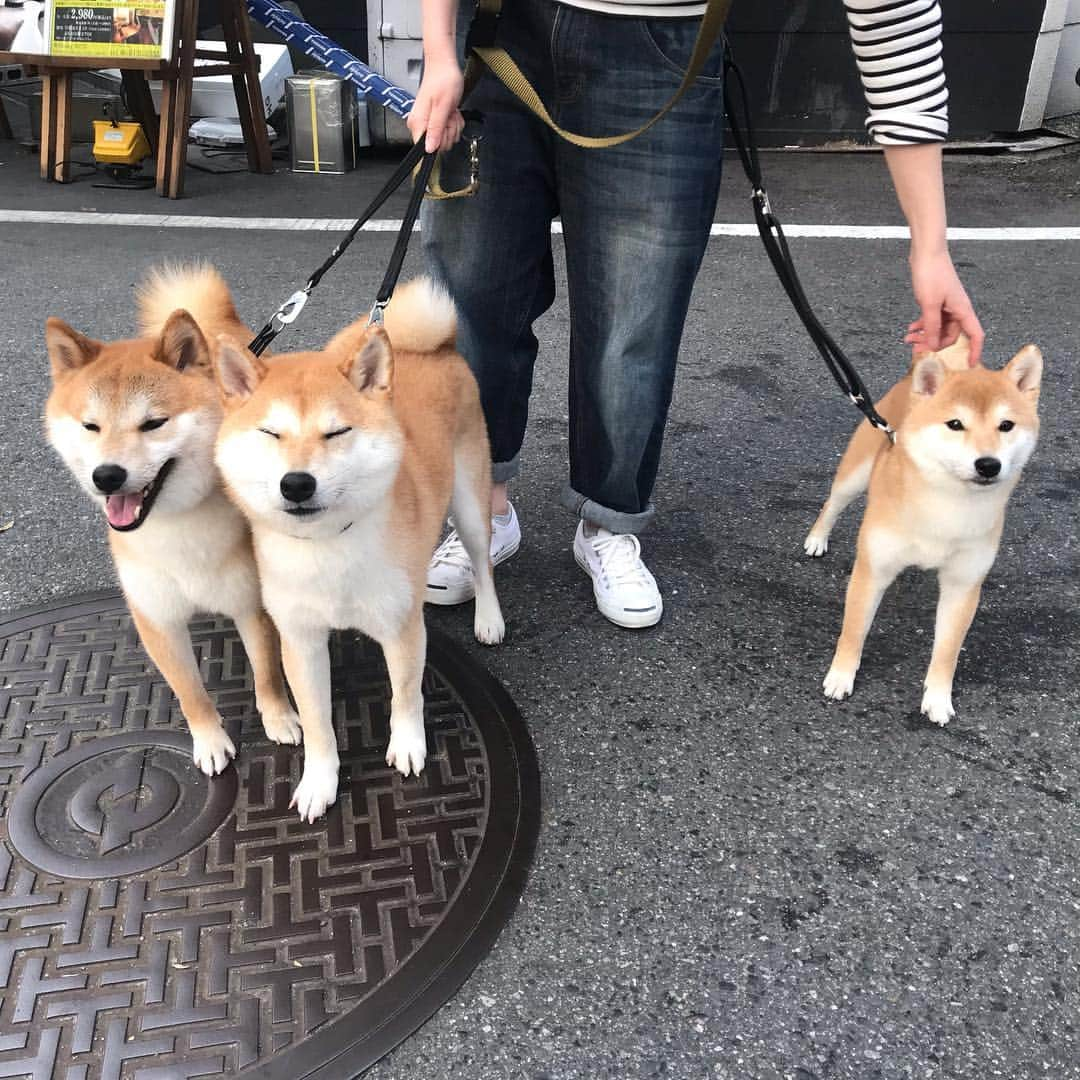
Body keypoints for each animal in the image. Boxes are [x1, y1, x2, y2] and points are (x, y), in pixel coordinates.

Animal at [44, 268, 300, 777]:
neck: (178, 527)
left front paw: (279, 718)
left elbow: (267, 673)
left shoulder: (251, 603)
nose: (107, 476)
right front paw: (209, 740)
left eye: (153, 424)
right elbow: (189, 692)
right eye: (90, 427)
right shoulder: (156, 617)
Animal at [217, 276, 507, 816]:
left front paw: (409, 745)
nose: (297, 483)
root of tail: (435, 348)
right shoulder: (300, 638)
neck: (327, 546)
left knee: (483, 561)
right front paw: (318, 781)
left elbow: (406, 696)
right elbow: (317, 724)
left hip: (470, 501)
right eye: (270, 433)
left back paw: (489, 618)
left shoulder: (403, 627)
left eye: (336, 432)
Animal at [807, 336, 1041, 725]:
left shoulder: (963, 585)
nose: (988, 464)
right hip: (855, 475)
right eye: (955, 424)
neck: (947, 505)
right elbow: (854, 631)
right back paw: (816, 538)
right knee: (832, 504)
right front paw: (840, 676)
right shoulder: (871, 570)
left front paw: (938, 698)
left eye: (1006, 425)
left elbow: (948, 650)